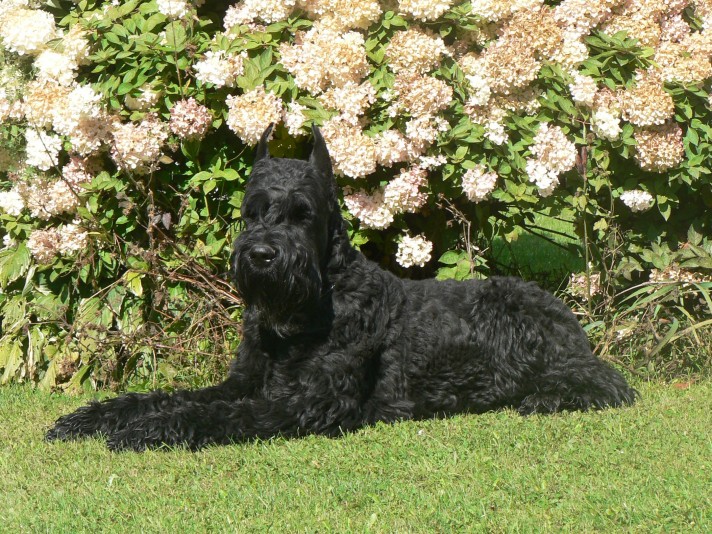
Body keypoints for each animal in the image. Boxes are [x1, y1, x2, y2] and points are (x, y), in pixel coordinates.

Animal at [47, 126, 636, 452]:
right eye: (252, 212)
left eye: (303, 213)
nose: (262, 256)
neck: (309, 307)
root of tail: (570, 320)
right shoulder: (242, 382)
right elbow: (168, 395)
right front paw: (94, 418)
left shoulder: (307, 403)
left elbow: (214, 415)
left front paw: (147, 430)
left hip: (512, 317)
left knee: (601, 383)